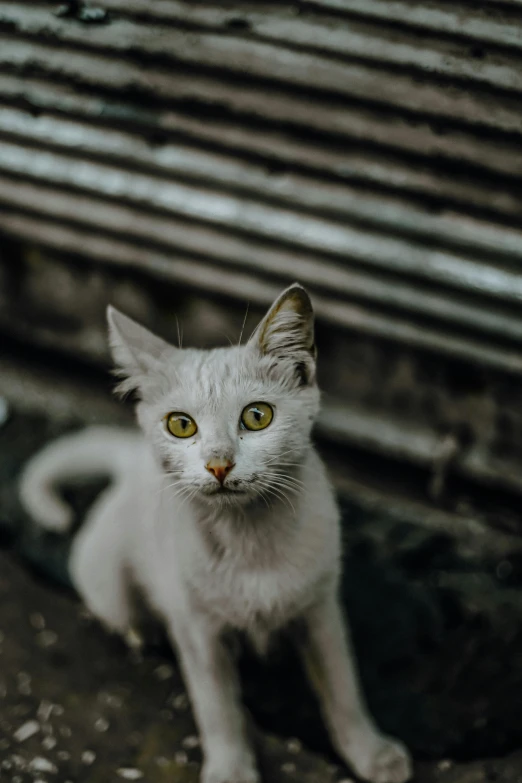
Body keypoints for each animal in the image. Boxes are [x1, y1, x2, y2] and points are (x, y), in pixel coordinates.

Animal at [19, 284, 410, 783]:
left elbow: (343, 686)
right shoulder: (198, 630)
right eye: (180, 424)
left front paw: (371, 753)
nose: (219, 464)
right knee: (127, 615)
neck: (249, 540)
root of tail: (130, 459)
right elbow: (217, 706)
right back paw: (145, 633)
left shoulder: (322, 610)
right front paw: (230, 767)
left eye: (258, 416)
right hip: (108, 583)